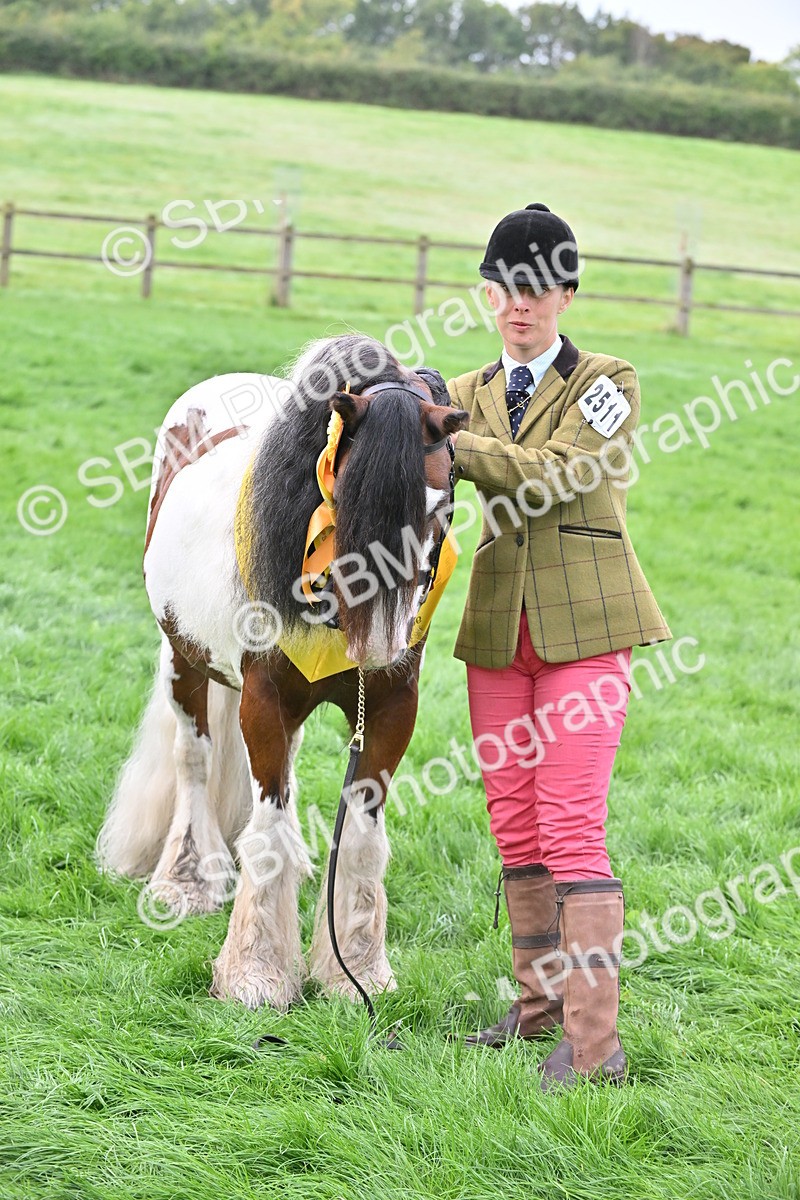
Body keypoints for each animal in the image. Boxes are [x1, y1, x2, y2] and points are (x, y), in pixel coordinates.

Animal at [97, 334, 469, 1010]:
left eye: (442, 501)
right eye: (341, 496)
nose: (378, 647)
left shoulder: (390, 709)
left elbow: (361, 836)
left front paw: (357, 971)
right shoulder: (263, 700)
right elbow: (269, 828)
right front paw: (256, 973)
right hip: (182, 660)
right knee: (193, 759)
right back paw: (188, 878)